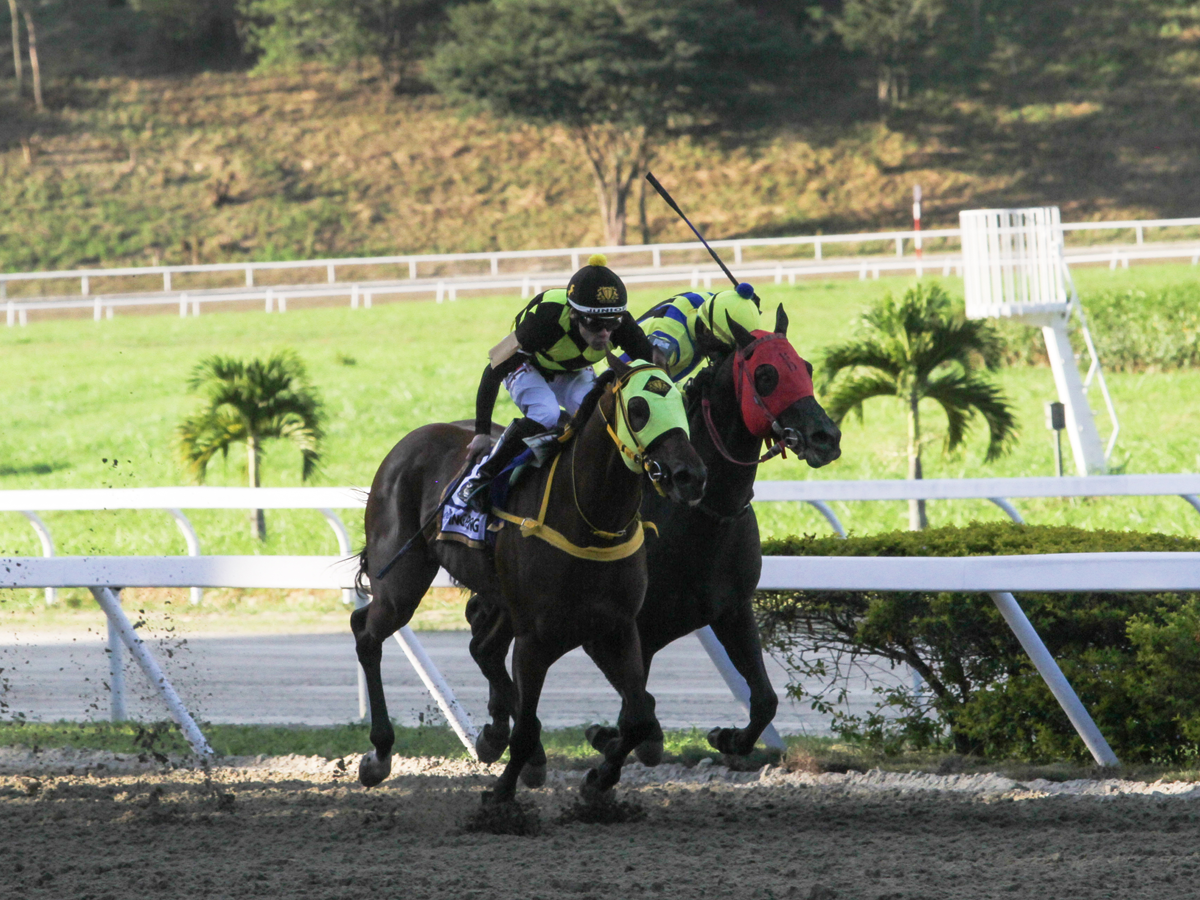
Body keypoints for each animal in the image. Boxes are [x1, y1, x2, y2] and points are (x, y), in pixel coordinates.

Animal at [350, 355, 700, 801]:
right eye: (638, 409)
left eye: (681, 400)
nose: (691, 475)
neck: (589, 518)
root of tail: (409, 441)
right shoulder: (535, 635)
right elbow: (530, 723)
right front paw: (502, 794)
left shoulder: (616, 626)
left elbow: (637, 718)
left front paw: (598, 780)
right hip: (401, 582)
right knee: (367, 633)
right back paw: (380, 753)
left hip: (496, 593)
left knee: (481, 647)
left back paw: (504, 744)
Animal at [463, 307, 840, 772]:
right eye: (766, 374)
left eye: (806, 368)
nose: (827, 437)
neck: (699, 515)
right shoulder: (615, 628)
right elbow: (642, 712)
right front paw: (607, 737)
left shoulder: (731, 609)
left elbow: (764, 700)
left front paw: (727, 737)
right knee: (485, 642)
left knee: (486, 644)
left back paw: (500, 734)